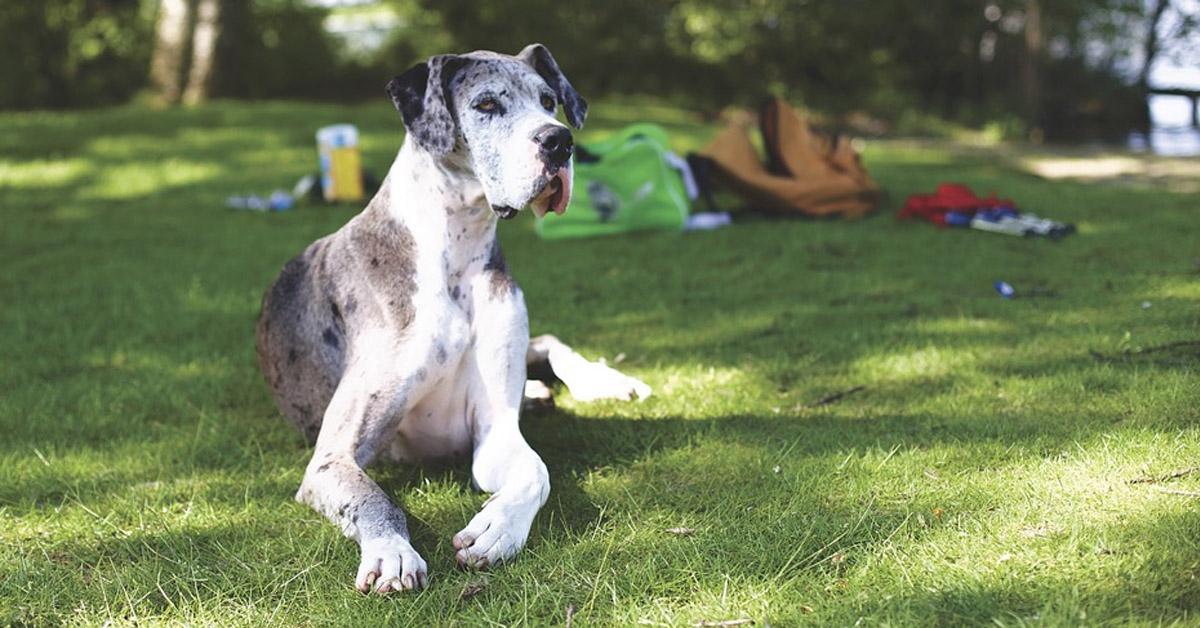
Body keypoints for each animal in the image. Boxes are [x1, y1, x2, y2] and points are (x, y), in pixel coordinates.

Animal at [252, 44, 648, 595]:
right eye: (486, 105)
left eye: (549, 101)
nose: (559, 140)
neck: (455, 250)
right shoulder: (332, 457)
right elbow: (375, 498)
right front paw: (391, 552)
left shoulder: (495, 432)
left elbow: (536, 471)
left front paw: (498, 529)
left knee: (548, 341)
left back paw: (599, 381)